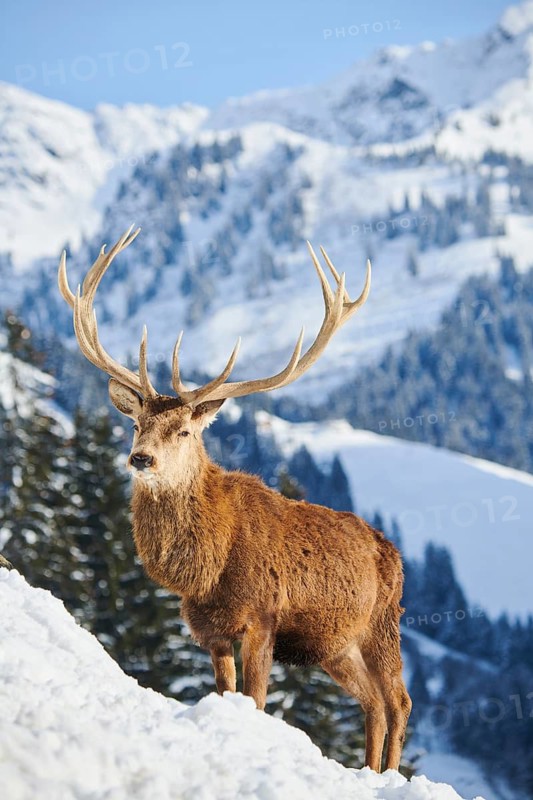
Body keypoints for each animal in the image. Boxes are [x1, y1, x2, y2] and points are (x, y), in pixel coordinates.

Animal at [58, 225, 411, 772]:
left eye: (183, 430)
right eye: (137, 424)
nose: (141, 459)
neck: (209, 568)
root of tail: (392, 552)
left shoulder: (262, 616)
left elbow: (258, 701)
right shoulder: (210, 629)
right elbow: (227, 694)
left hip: (381, 624)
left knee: (398, 700)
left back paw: (389, 773)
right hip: (333, 645)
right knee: (372, 702)